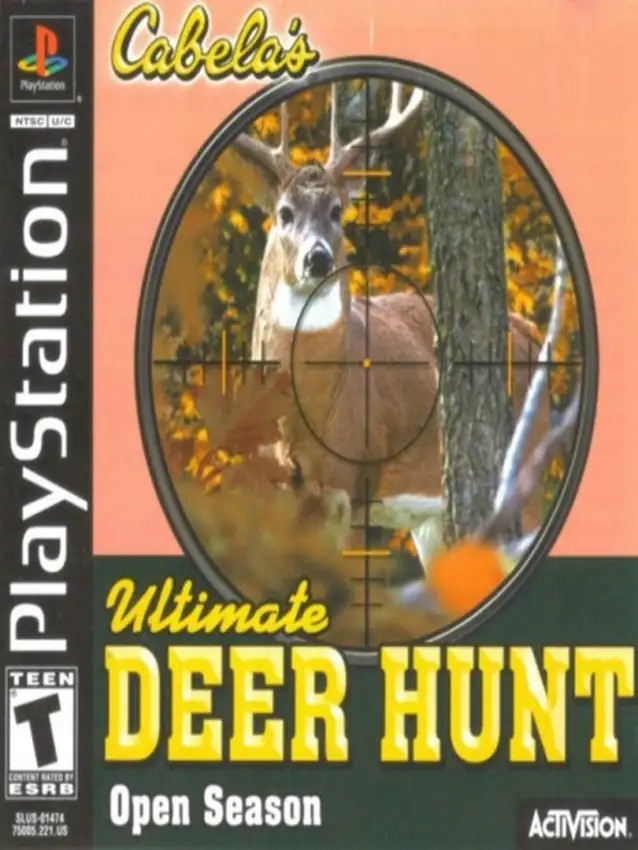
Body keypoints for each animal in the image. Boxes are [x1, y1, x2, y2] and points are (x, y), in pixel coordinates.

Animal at [232, 82, 550, 579]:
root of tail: (531, 330)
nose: (317, 258)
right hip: (432, 518)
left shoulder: (353, 485)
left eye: (337, 211)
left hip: (527, 464)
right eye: (284, 213)